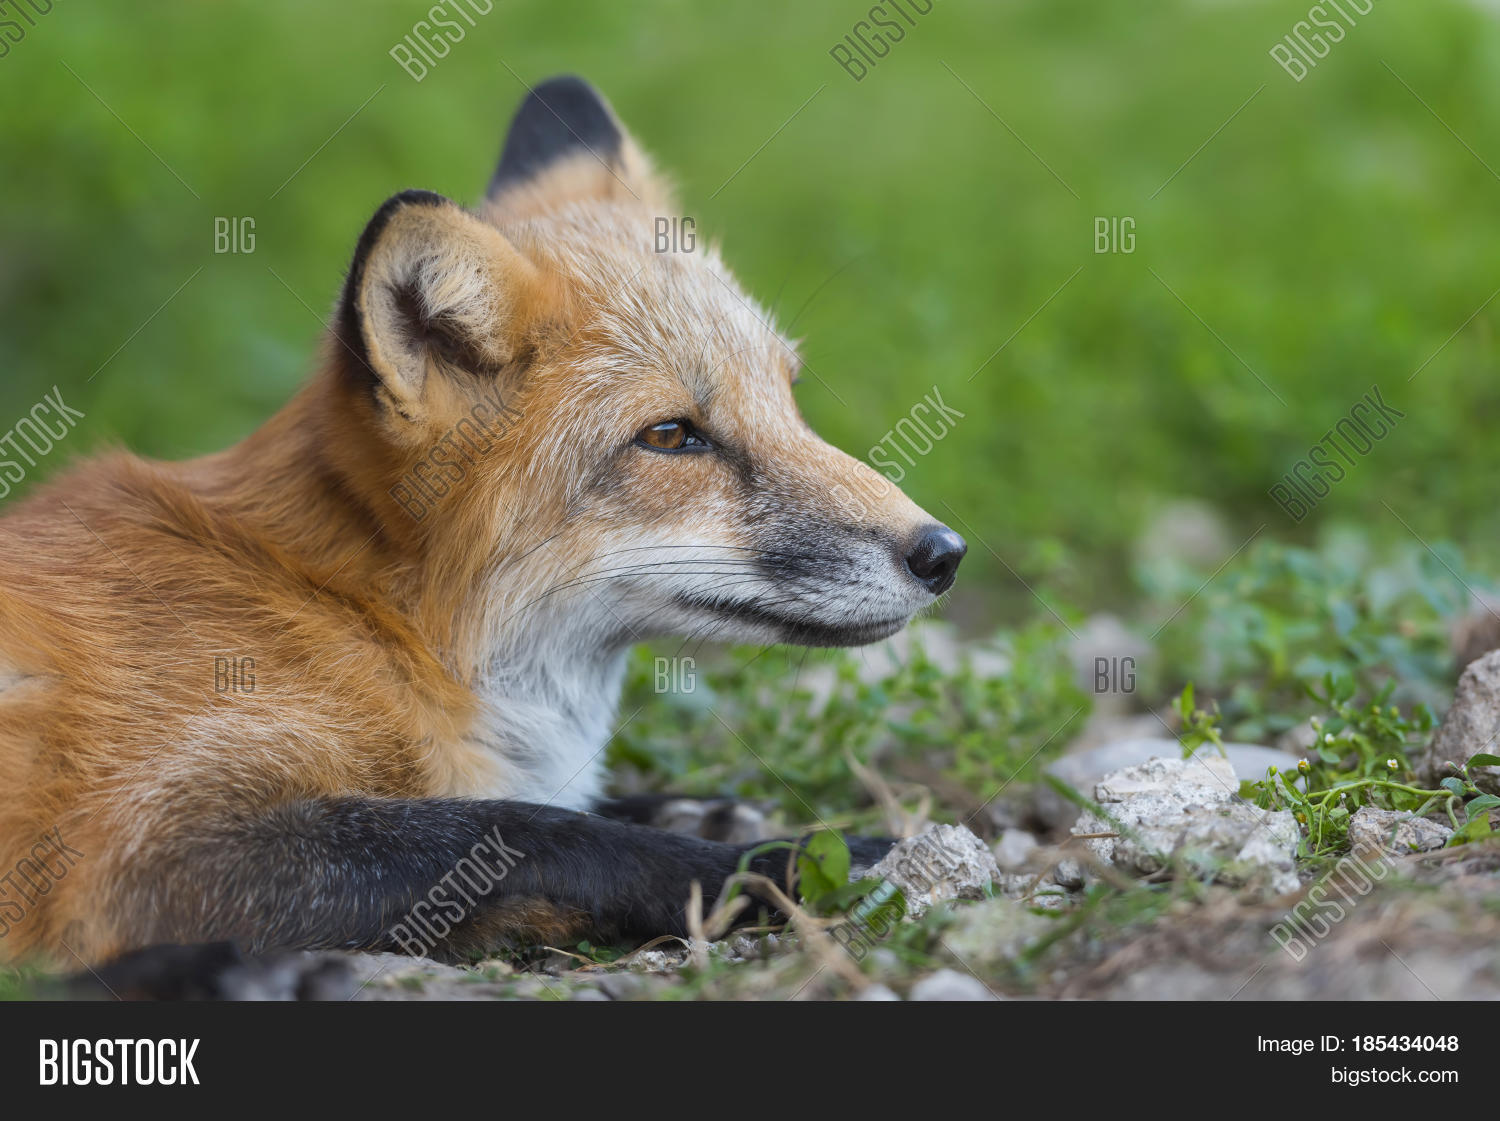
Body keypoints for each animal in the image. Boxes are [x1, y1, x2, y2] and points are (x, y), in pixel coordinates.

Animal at [0, 75, 966, 970]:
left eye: (788, 395)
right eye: (670, 435)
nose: (944, 553)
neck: (376, 623)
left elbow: (559, 805)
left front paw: (710, 810)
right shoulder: (143, 854)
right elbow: (527, 828)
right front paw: (788, 861)